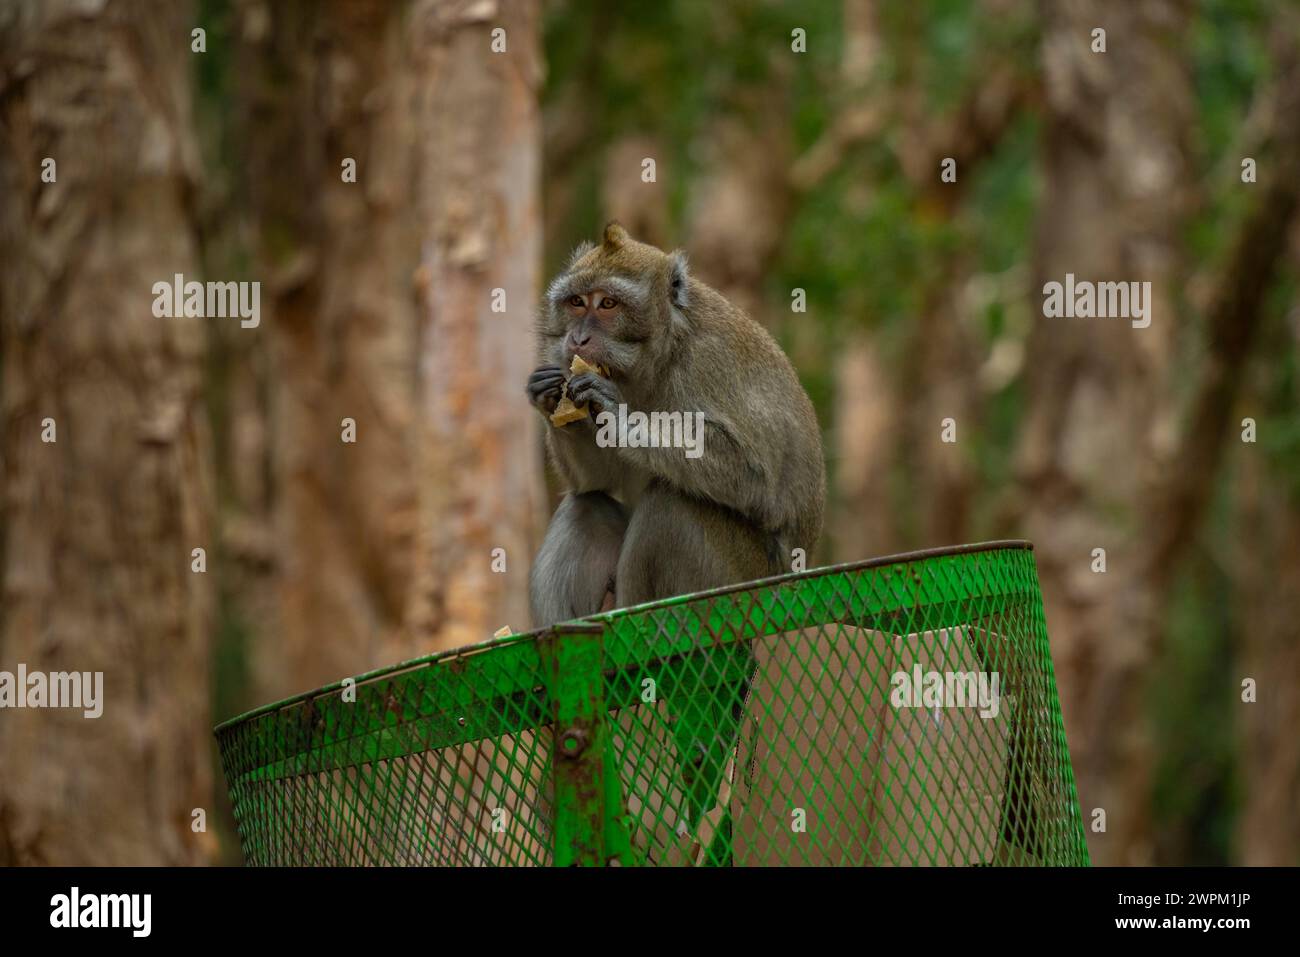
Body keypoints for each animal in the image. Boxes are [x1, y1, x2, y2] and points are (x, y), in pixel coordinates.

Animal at [525, 221, 821, 631]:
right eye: (577, 303)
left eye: (608, 304)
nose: (577, 338)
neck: (660, 354)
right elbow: (596, 480)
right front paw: (550, 398)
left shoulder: (709, 360)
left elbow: (754, 476)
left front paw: (617, 412)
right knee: (585, 506)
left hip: (738, 588)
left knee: (671, 503)